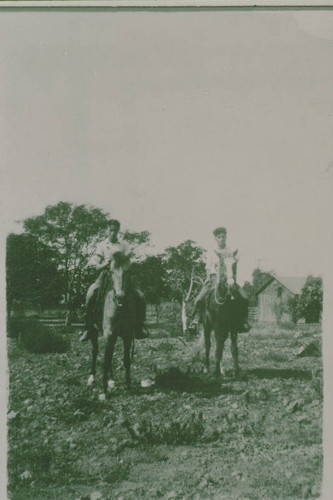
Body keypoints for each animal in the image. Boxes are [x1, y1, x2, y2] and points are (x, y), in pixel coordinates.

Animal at [86, 252, 143, 400]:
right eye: (111, 271)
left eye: (129, 271)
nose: (120, 297)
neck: (120, 309)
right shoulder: (109, 334)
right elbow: (105, 361)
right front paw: (104, 390)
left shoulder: (127, 335)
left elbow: (126, 360)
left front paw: (128, 386)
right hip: (94, 332)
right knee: (95, 351)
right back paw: (91, 379)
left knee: (109, 355)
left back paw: (111, 380)